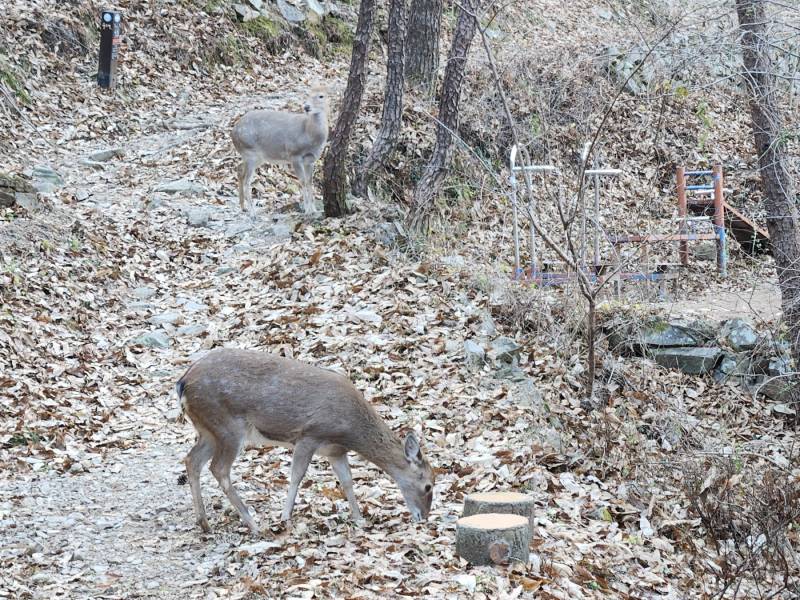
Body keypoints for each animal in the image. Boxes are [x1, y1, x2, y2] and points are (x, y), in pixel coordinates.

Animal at [177, 346, 438, 536]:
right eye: (428, 485)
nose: (423, 517)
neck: (349, 431)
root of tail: (183, 383)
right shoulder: (309, 434)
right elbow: (296, 476)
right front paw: (285, 517)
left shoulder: (335, 450)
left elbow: (347, 481)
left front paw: (359, 519)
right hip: (227, 427)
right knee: (219, 468)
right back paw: (254, 524)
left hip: (208, 430)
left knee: (192, 460)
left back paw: (204, 523)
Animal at [230, 88, 330, 219]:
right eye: (308, 95)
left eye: (321, 96)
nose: (307, 107)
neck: (308, 133)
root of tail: (233, 132)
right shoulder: (294, 155)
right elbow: (303, 181)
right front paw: (308, 211)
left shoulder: (310, 160)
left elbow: (309, 182)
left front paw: (314, 210)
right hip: (250, 152)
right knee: (247, 181)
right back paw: (252, 213)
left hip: (256, 157)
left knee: (239, 168)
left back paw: (243, 207)